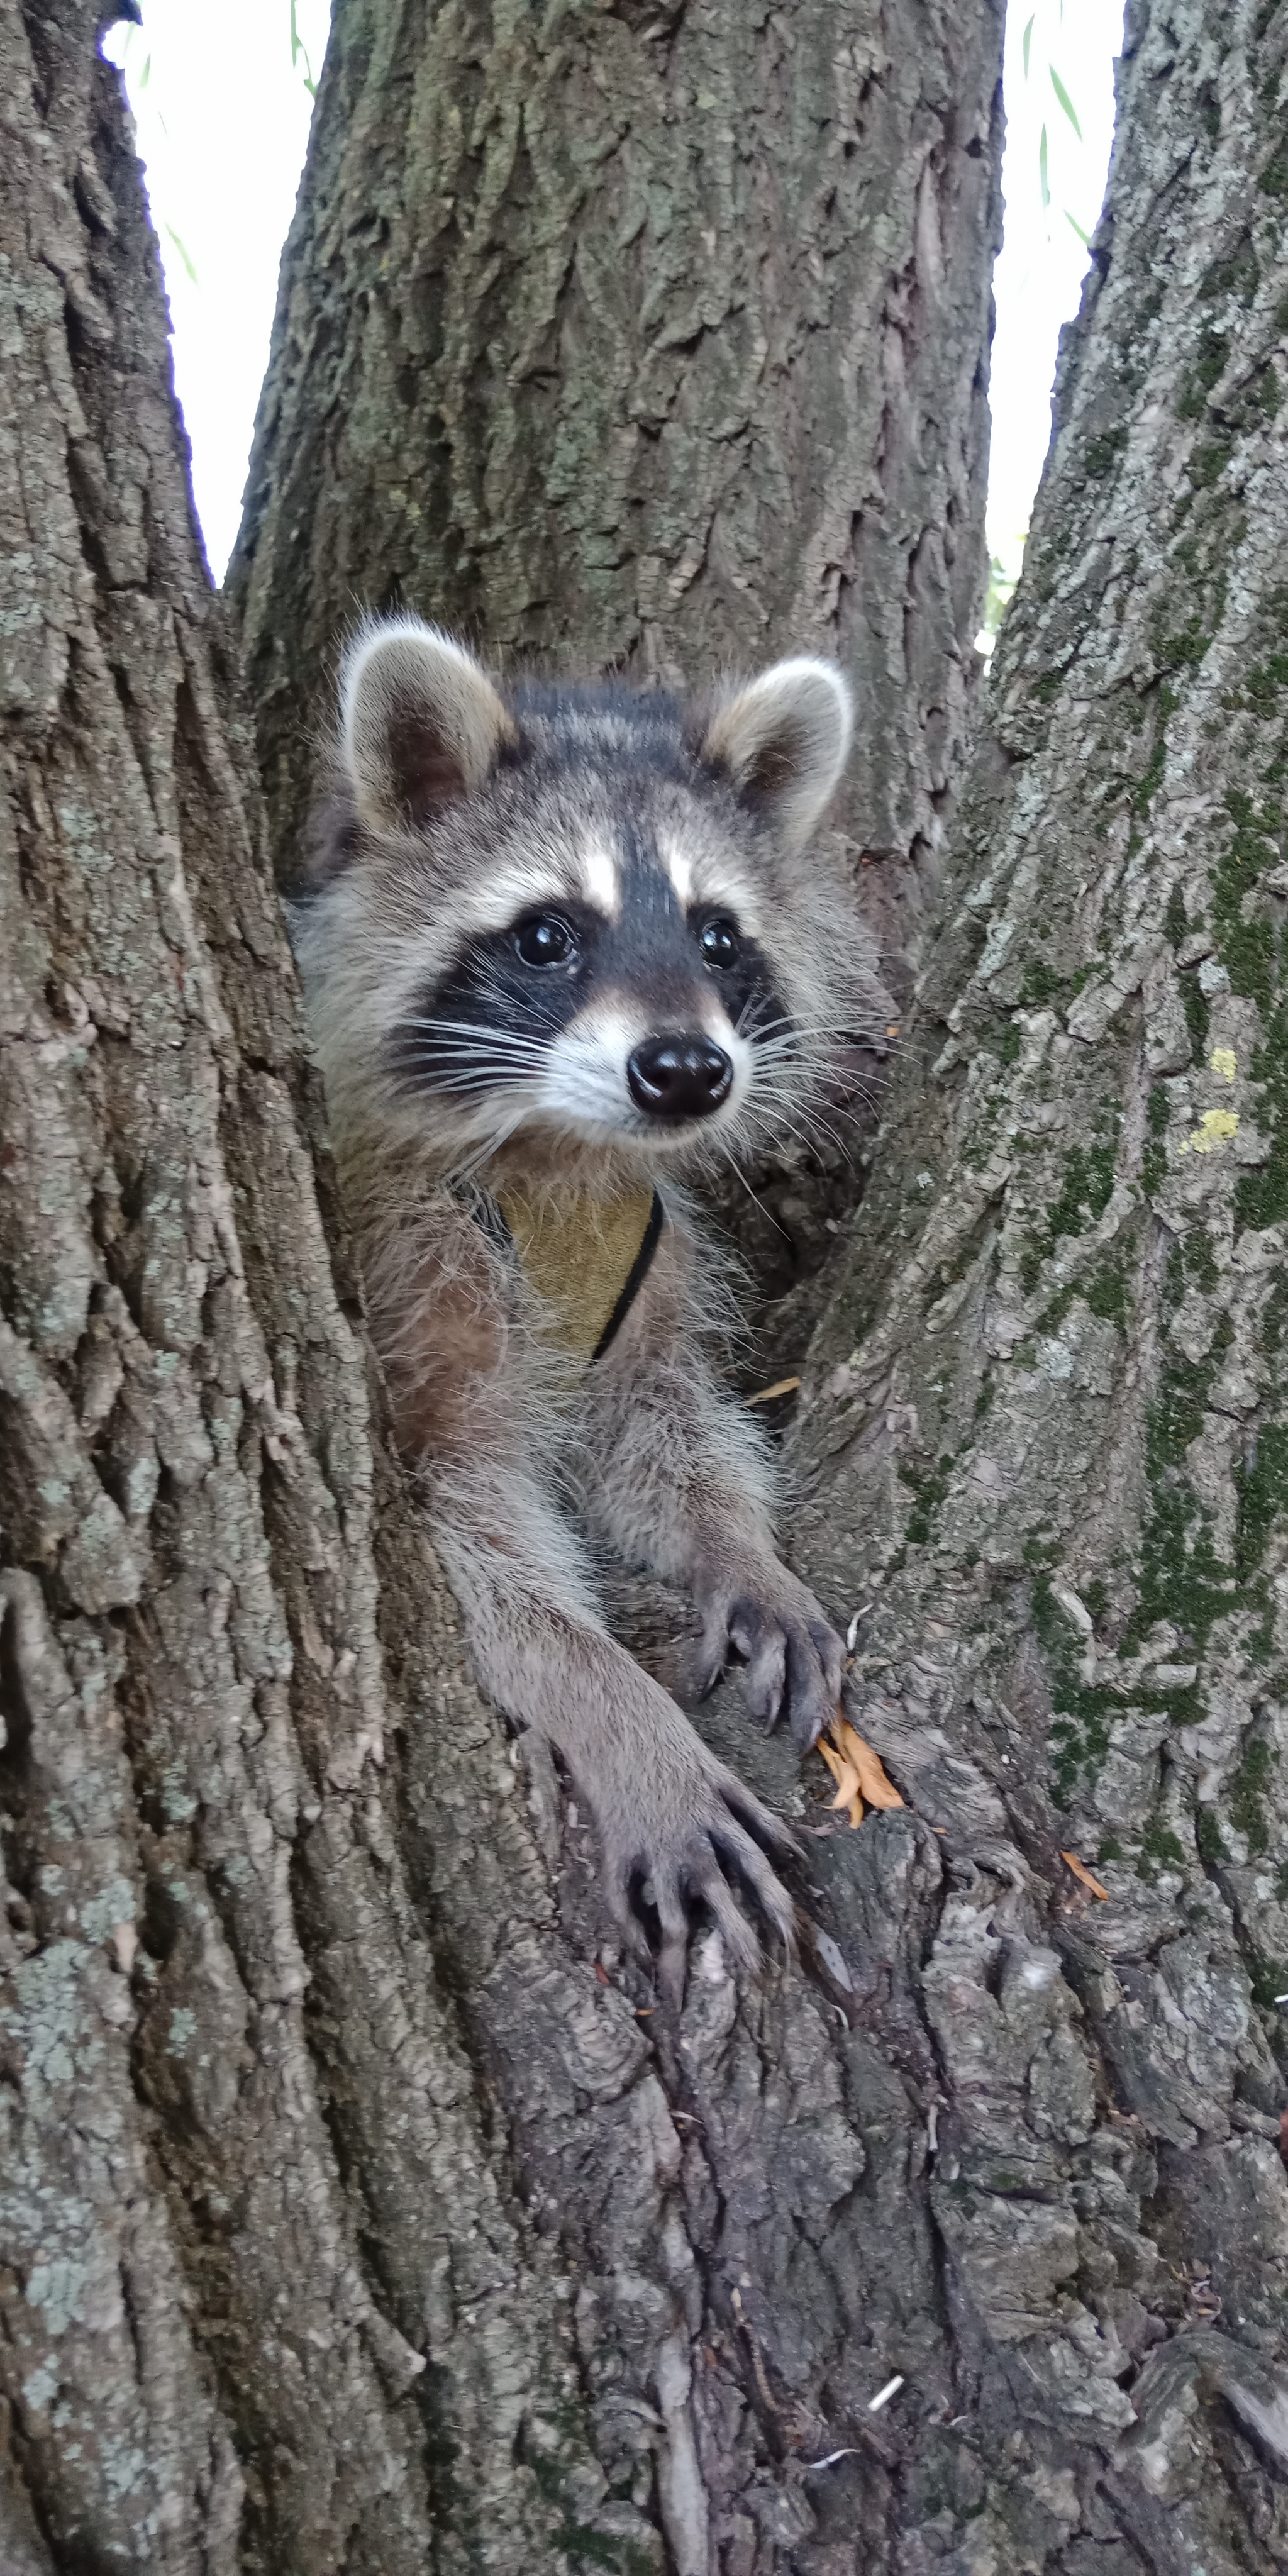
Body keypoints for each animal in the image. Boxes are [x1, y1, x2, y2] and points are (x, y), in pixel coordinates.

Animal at [293, 618, 875, 1989]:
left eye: (717, 939)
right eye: (547, 936)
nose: (686, 1071)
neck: (562, 1147)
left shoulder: (648, 1256)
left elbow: (660, 1424)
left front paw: (740, 1546)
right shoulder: (406, 1248)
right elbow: (473, 1524)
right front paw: (618, 1712)